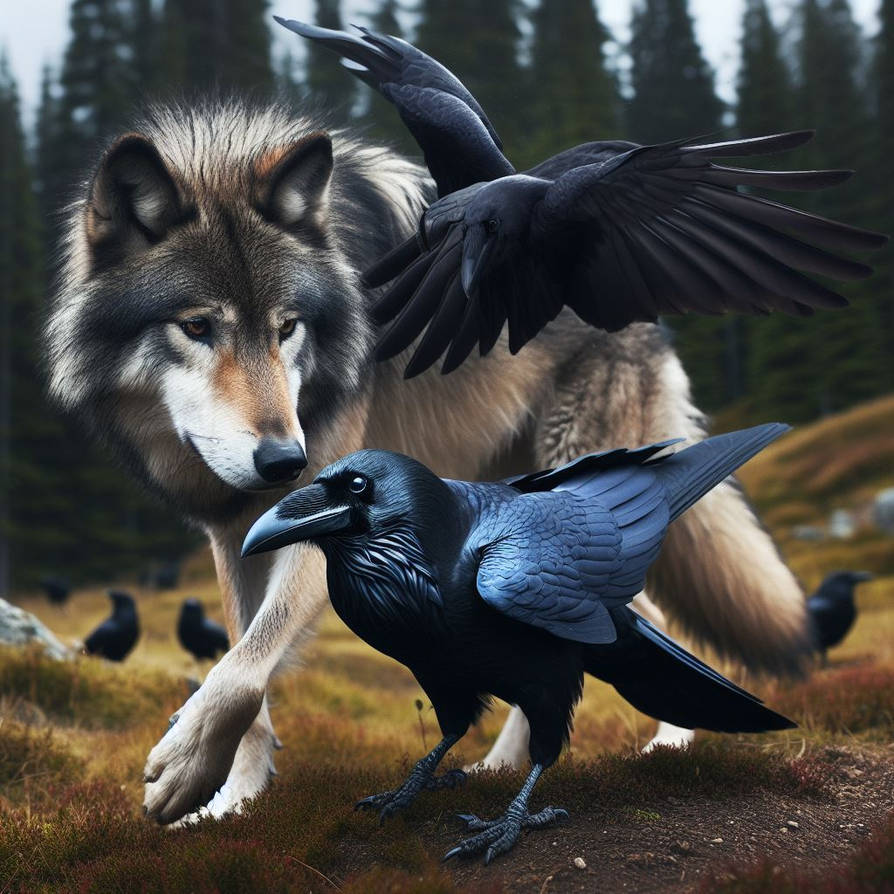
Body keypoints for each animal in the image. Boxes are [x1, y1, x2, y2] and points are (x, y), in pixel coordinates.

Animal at [46, 99, 809, 825]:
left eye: (288, 326)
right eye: (197, 327)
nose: (286, 462)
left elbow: (242, 667)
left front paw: (183, 771)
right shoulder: (235, 534)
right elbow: (242, 664)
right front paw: (234, 798)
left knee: (643, 623)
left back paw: (661, 746)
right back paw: (499, 768)